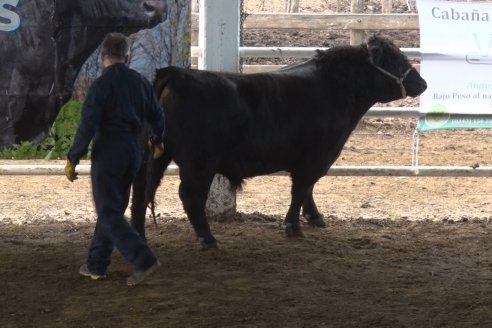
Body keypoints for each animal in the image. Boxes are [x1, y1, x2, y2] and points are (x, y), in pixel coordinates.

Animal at [131, 35, 426, 249]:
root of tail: (177, 74)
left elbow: (308, 189)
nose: (422, 83)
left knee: (142, 193)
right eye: (396, 61)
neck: (334, 87)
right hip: (199, 164)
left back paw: (140, 237)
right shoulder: (316, 156)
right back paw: (208, 239)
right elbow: (301, 188)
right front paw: (293, 226)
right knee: (190, 197)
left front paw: (314, 217)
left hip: (155, 157)